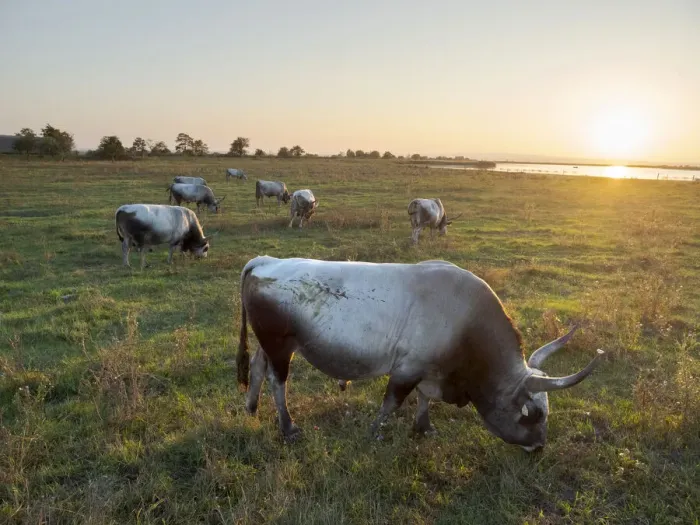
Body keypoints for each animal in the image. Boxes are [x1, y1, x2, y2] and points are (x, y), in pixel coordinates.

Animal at [236, 256, 603, 449]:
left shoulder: (430, 369)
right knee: (278, 383)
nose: (539, 447)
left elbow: (425, 398)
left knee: (256, 367)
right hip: (280, 346)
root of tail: (266, 261)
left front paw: (423, 426)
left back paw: (251, 408)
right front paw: (375, 432)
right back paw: (287, 427)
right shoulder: (407, 369)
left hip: (269, 344)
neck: (467, 319)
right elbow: (392, 403)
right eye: (535, 414)